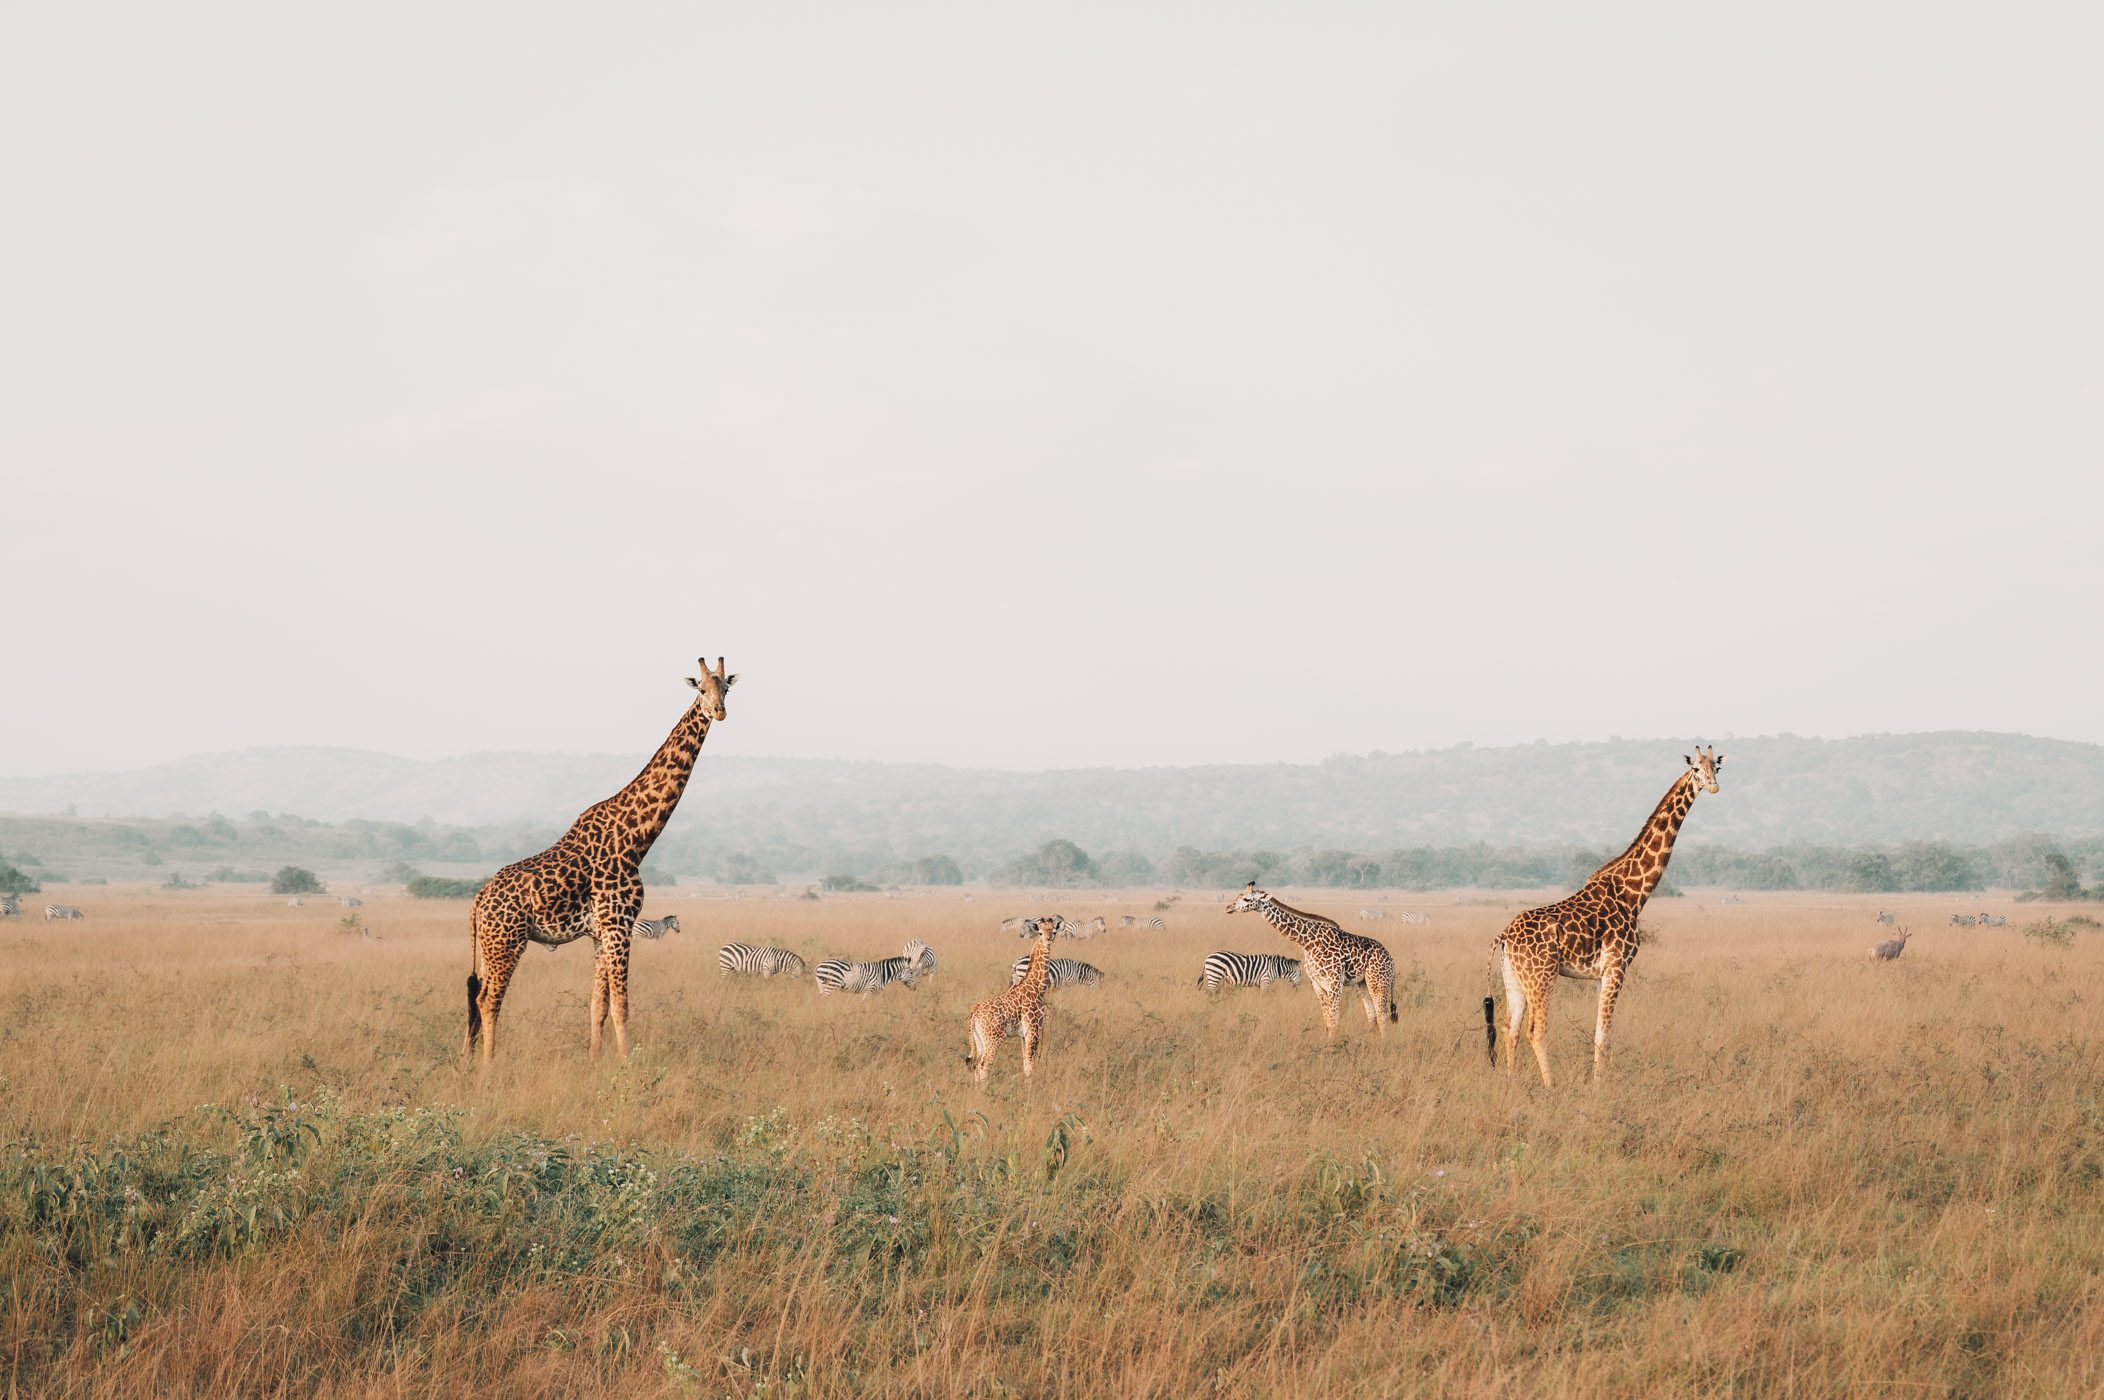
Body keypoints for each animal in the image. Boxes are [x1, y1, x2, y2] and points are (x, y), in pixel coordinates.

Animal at [464, 656, 736, 1061]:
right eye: (701, 689)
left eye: (727, 688)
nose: (718, 711)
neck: (637, 837)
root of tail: (478, 901)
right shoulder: (619, 924)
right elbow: (622, 1004)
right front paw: (627, 1064)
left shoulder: (599, 932)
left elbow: (598, 1005)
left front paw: (594, 1060)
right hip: (507, 942)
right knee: (488, 999)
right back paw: (488, 1065)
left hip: (488, 946)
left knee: (474, 996)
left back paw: (469, 1060)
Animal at [972, 917, 1068, 1077]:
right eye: (1040, 932)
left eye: (1054, 931)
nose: (1048, 940)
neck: (1036, 986)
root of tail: (975, 1013)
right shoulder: (1034, 1029)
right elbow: (1030, 1065)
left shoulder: (1023, 1034)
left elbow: (1025, 1064)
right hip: (994, 1038)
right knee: (984, 1065)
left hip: (979, 1040)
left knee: (976, 1065)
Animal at [1220, 884, 1397, 1035]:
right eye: (1239, 895)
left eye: (1246, 899)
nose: (1228, 908)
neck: (1308, 942)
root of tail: (1390, 959)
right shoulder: (1317, 983)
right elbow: (1328, 1021)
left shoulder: (1334, 983)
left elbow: (1334, 1021)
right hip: (1363, 984)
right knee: (1372, 1015)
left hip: (1378, 981)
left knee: (1382, 1015)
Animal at [1489, 749, 1716, 1086]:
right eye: (1696, 769)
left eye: (1717, 767)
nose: (1713, 786)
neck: (1634, 894)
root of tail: (1504, 936)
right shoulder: (1618, 966)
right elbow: (1604, 1033)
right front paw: (1600, 1086)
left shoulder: (1601, 974)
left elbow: (1599, 1030)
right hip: (1541, 977)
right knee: (1536, 1031)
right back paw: (1550, 1086)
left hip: (1514, 978)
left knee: (1510, 1028)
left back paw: (1511, 1083)